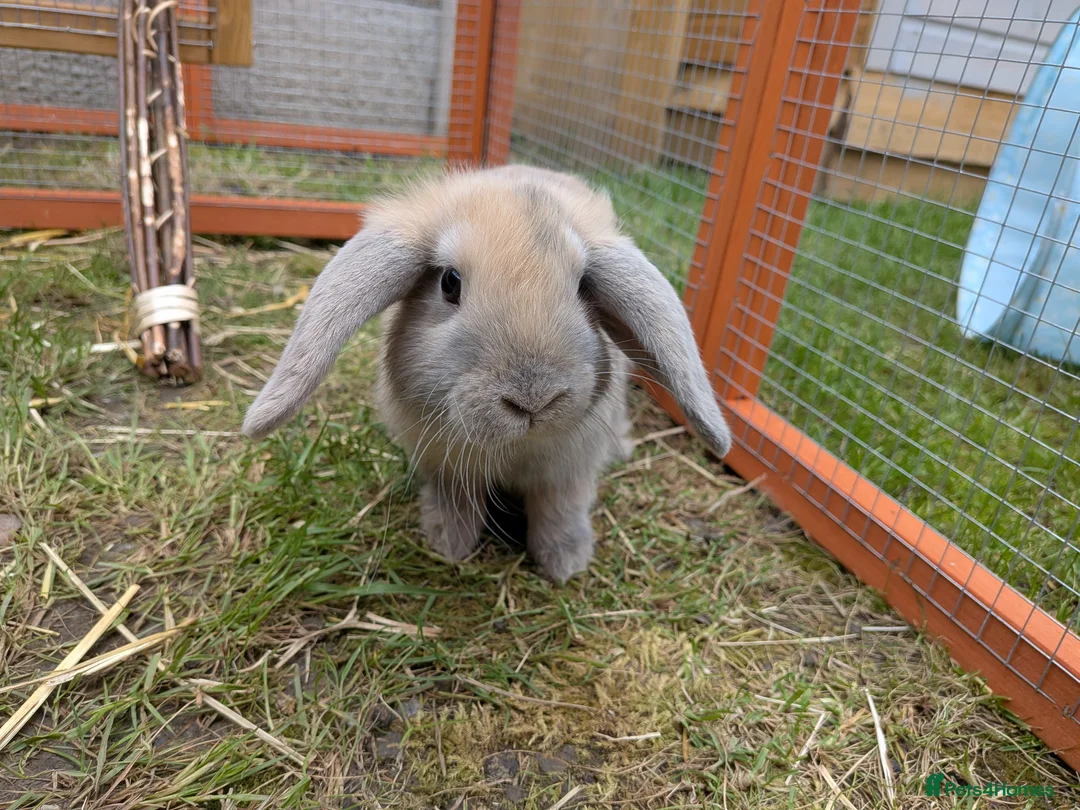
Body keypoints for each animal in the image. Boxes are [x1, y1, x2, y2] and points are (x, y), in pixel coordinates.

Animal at [241, 165, 732, 583]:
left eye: (582, 287)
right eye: (449, 283)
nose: (534, 399)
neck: (515, 448)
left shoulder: (568, 472)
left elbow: (559, 510)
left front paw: (566, 563)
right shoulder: (444, 465)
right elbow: (457, 500)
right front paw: (448, 544)